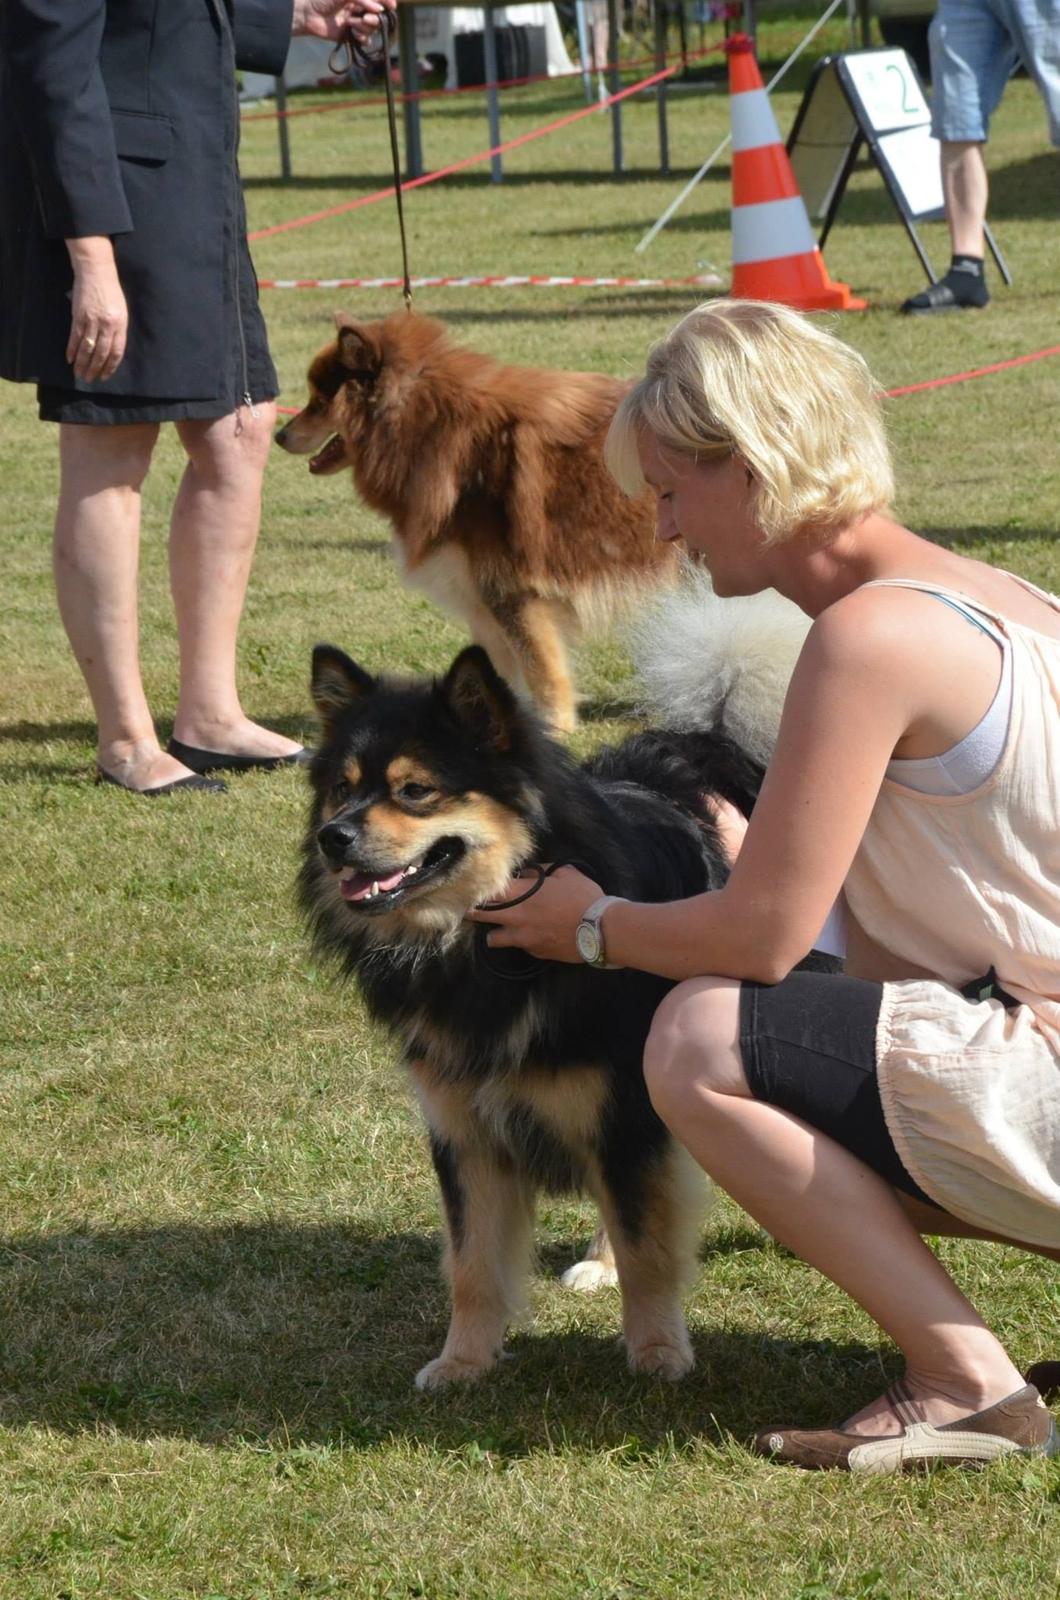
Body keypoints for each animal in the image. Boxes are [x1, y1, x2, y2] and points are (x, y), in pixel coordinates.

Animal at [273, 315, 672, 729]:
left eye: (319, 403)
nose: (279, 435)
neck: (428, 432)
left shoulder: (512, 591)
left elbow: (542, 672)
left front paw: (555, 725)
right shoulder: (481, 601)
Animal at [302, 636, 768, 1388]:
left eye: (415, 790)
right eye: (342, 789)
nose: (332, 837)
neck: (477, 950)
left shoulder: (620, 1112)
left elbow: (648, 1247)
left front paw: (657, 1353)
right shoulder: (465, 1130)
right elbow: (472, 1265)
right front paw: (462, 1362)